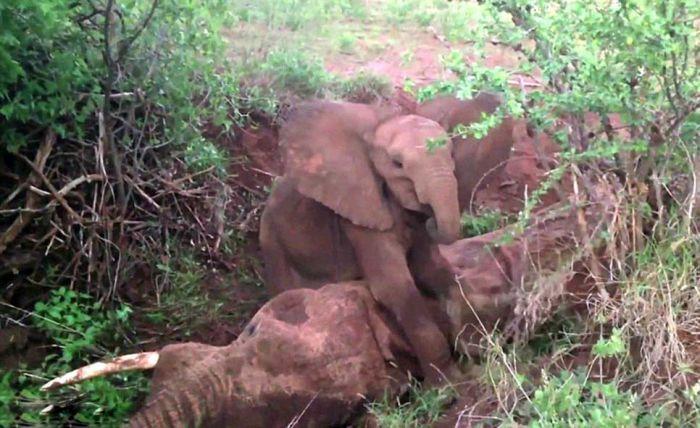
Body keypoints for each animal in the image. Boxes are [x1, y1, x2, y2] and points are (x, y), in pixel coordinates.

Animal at [259, 100, 461, 384]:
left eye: (452, 155)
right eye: (397, 164)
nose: (430, 214)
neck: (376, 128)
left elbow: (433, 270)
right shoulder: (361, 214)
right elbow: (394, 286)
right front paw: (449, 385)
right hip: (272, 243)